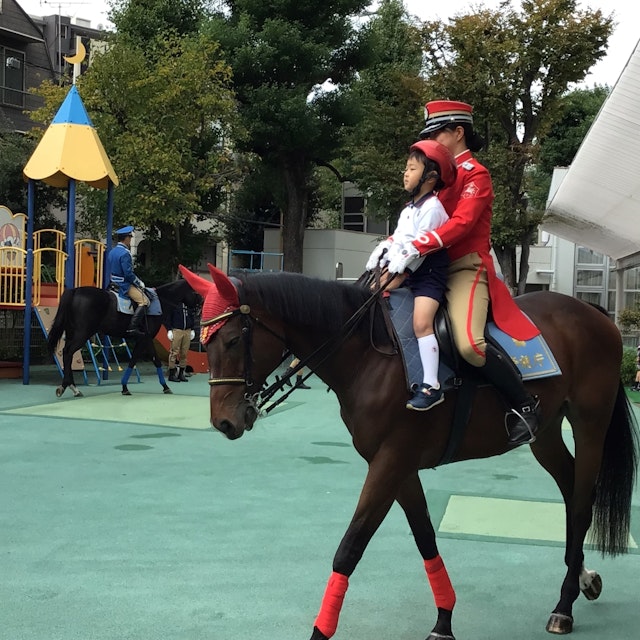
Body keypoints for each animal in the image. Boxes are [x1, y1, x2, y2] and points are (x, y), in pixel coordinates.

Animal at [46, 279, 200, 398]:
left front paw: (125, 387)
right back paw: (69, 387)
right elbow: (148, 361)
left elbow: (141, 360)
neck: (161, 302)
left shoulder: (144, 339)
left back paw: (71, 387)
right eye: (195, 291)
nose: (199, 308)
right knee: (67, 352)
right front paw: (164, 386)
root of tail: (75, 291)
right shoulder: (146, 338)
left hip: (73, 333)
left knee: (68, 354)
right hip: (82, 334)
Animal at [179, 263, 638, 640]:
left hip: (590, 424)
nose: (224, 421)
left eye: (232, 340)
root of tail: (595, 313)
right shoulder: (397, 465)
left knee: (581, 502)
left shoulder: (391, 460)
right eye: (204, 341)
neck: (369, 355)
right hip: (544, 436)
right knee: (570, 491)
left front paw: (320, 632)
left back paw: (564, 605)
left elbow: (350, 547)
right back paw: (581, 578)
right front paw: (444, 619)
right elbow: (424, 536)